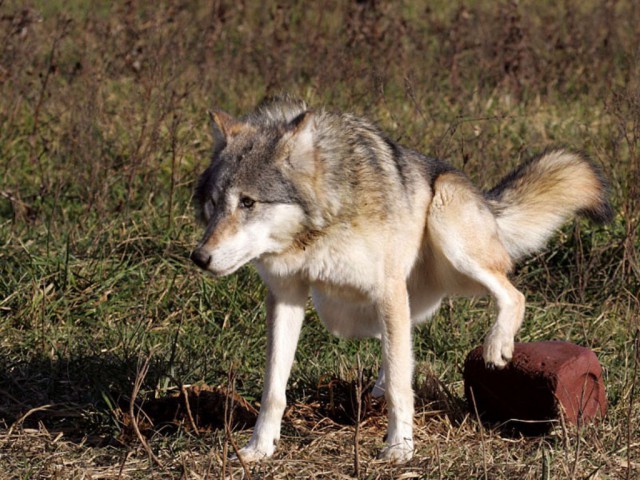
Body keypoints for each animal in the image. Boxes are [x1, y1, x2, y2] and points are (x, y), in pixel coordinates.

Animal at [189, 95, 608, 464]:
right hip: (356, 307)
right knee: (402, 347)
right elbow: (273, 389)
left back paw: (497, 345)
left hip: (450, 240)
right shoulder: (285, 295)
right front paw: (258, 448)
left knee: (512, 293)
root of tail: (485, 201)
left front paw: (399, 448)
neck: (317, 232)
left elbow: (399, 389)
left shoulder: (387, 290)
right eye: (213, 203)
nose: (199, 257)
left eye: (248, 202)